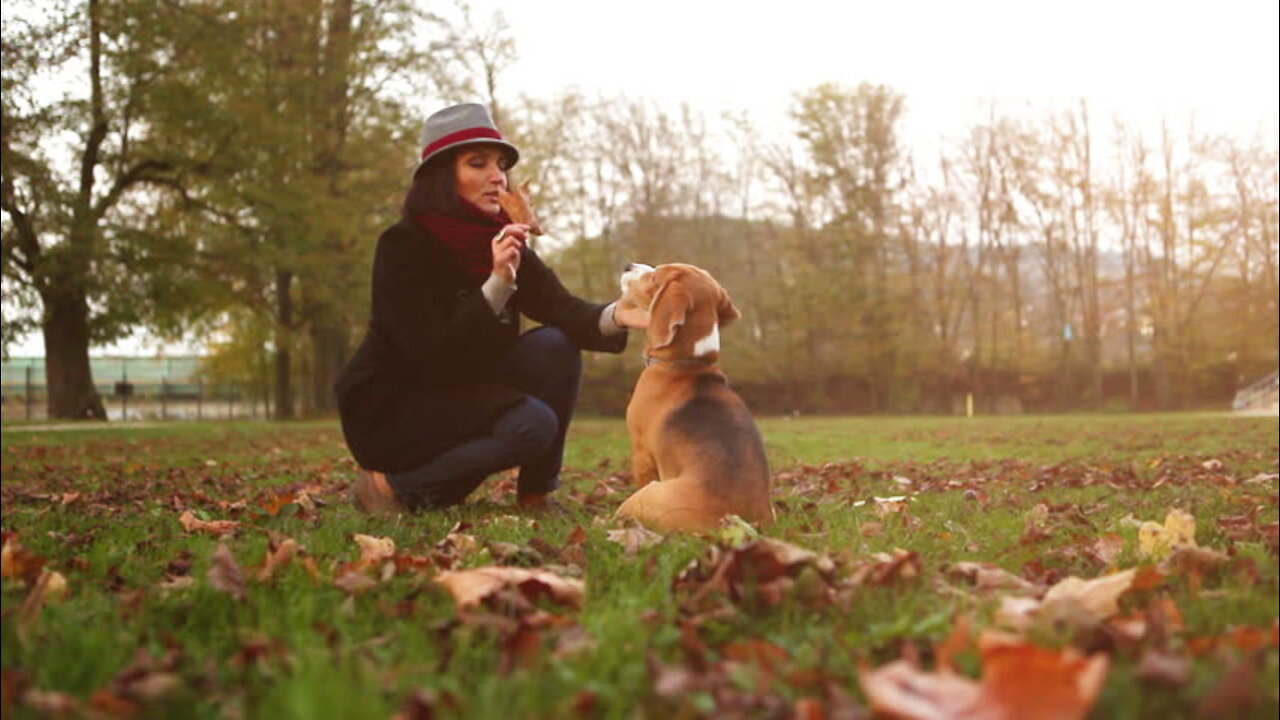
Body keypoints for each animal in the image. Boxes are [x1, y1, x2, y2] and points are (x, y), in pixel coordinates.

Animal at [614, 260, 773, 530]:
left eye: (655, 277)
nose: (627, 265)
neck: (687, 362)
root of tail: (735, 521)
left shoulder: (642, 452)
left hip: (647, 493)